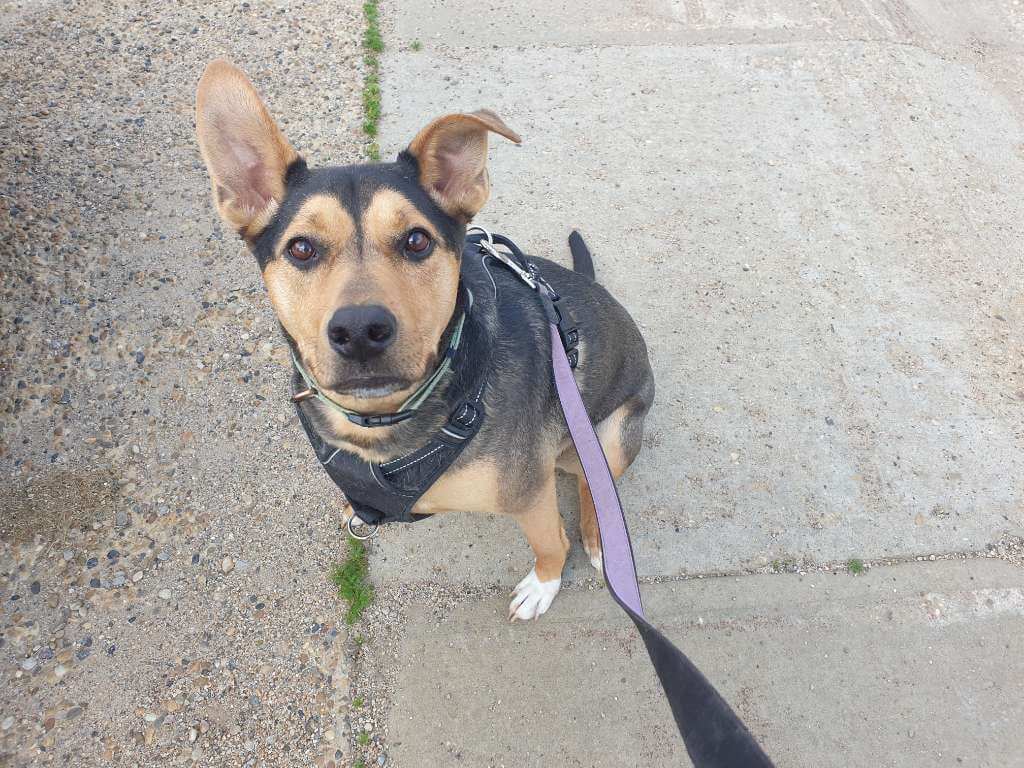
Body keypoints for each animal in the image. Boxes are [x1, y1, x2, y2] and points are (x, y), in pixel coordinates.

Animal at [195, 60, 654, 620]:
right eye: (301, 248)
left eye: (416, 240)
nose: (360, 332)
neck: (389, 420)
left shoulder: (530, 493)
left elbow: (551, 543)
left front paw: (543, 585)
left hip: (611, 430)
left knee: (595, 483)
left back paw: (599, 536)